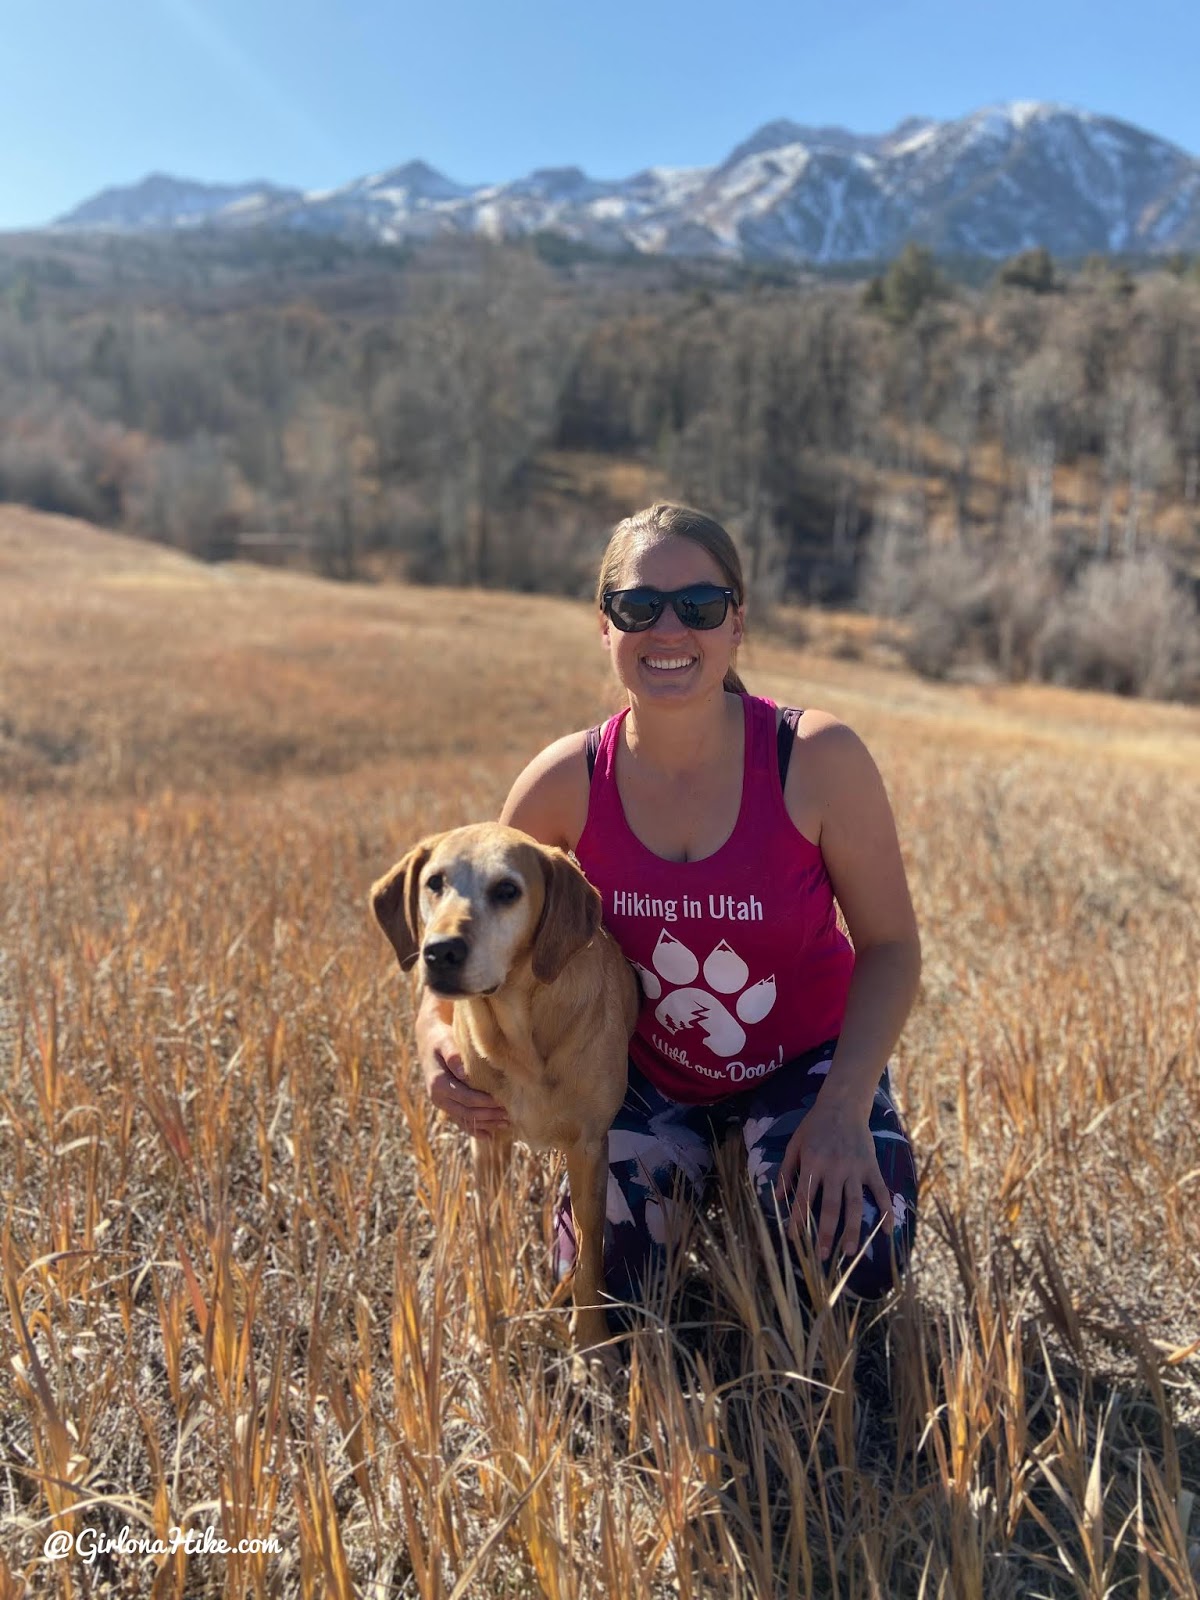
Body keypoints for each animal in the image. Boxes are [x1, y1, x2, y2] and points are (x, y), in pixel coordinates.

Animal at [374, 825, 640, 1350]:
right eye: (434, 882)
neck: (522, 1035)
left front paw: (592, 1347)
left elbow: (589, 1258)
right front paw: (490, 1322)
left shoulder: (589, 1149)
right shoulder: (489, 1142)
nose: (440, 952)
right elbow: (489, 1241)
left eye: (507, 890)